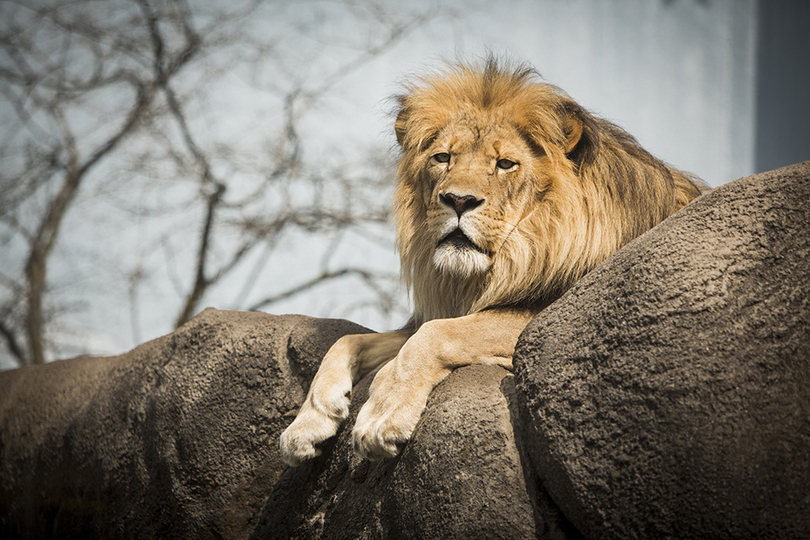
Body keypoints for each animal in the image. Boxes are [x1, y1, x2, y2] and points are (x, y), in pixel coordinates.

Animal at [280, 58, 708, 464]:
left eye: (505, 164)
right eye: (442, 158)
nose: (459, 200)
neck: (511, 259)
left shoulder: (544, 317)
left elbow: (434, 335)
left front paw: (382, 411)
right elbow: (348, 340)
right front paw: (309, 421)